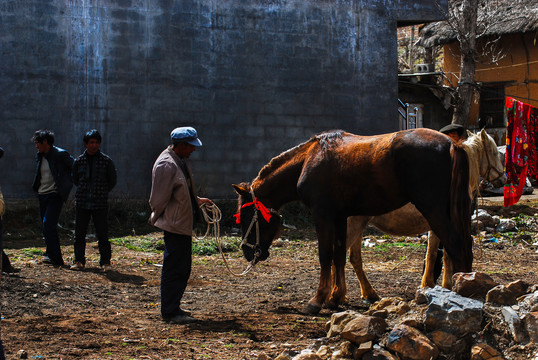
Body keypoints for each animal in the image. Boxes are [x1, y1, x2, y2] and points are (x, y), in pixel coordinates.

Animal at [231, 128, 468, 314]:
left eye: (245, 216)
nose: (248, 252)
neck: (308, 159)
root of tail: (451, 144)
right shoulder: (340, 217)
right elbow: (339, 256)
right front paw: (336, 297)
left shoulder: (323, 215)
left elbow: (325, 256)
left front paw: (318, 299)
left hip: (433, 211)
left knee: (455, 246)